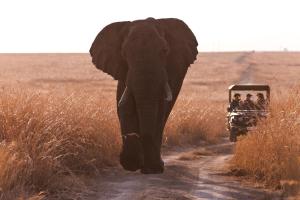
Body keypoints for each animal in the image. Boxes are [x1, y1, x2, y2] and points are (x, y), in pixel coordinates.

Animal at [89, 17, 198, 173]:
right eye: (124, 53)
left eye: (165, 51)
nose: (131, 136)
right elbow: (125, 103)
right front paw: (132, 163)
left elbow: (159, 109)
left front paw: (153, 168)